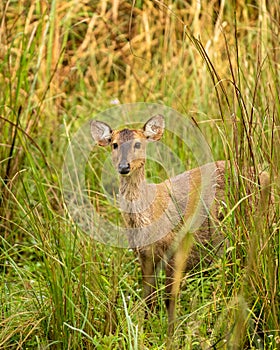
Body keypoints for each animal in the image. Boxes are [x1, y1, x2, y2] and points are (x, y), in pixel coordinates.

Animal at [90, 114, 272, 336]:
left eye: (138, 144)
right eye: (114, 144)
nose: (124, 167)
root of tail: (262, 173)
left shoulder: (175, 249)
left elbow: (170, 298)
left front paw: (170, 334)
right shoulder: (144, 255)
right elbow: (148, 298)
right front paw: (145, 331)